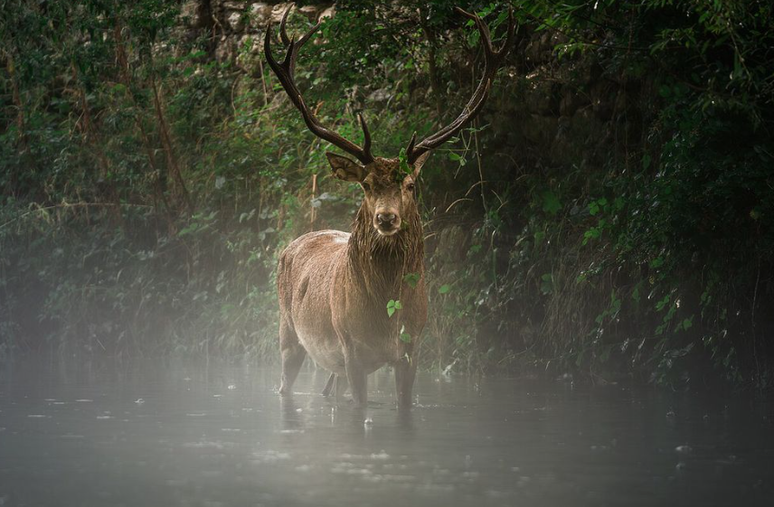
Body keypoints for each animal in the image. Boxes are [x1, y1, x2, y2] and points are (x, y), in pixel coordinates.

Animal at [266, 4, 516, 408]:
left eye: (411, 185)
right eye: (367, 185)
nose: (386, 217)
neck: (385, 319)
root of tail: (293, 243)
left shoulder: (412, 348)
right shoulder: (351, 349)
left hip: (329, 361)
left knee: (328, 390)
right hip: (288, 331)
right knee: (286, 382)